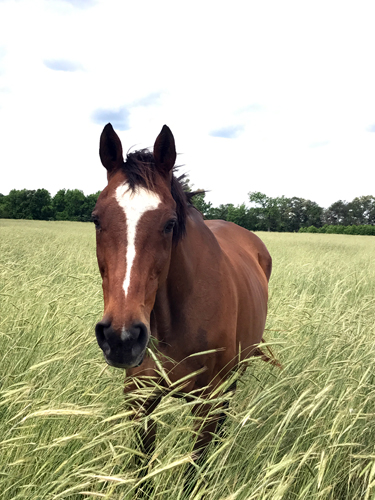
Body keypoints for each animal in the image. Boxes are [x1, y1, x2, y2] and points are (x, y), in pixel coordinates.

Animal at [92, 122, 274, 484]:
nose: (122, 338)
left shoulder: (208, 403)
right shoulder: (140, 399)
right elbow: (142, 474)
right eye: (96, 219)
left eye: (170, 223)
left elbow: (192, 473)